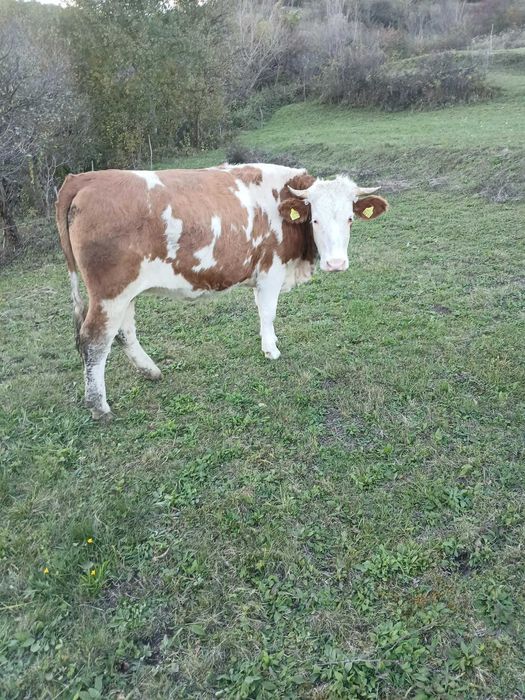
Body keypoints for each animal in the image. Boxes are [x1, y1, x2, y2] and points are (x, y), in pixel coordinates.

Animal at [56, 163, 388, 420]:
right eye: (315, 219)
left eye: (349, 218)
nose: (336, 263)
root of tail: (85, 178)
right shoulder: (271, 271)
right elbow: (268, 312)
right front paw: (271, 350)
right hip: (109, 293)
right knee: (95, 341)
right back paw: (99, 406)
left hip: (126, 292)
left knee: (124, 332)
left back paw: (150, 371)